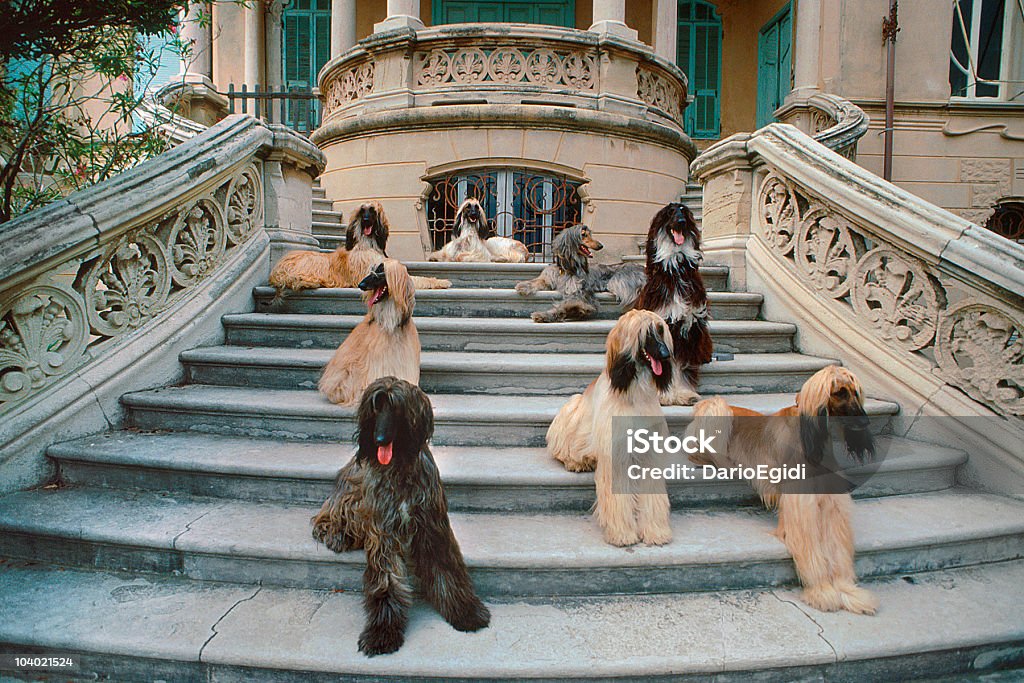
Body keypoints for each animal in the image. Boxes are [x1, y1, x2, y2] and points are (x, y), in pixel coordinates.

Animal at [270, 200, 450, 296]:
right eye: (362, 210)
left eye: (372, 210)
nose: (365, 220)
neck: (368, 243)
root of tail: (276, 270)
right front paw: (441, 281)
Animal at [309, 376, 489, 655]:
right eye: (376, 407)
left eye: (395, 407)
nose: (378, 439)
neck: (399, 466)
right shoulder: (383, 529)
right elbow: (386, 581)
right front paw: (382, 632)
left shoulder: (432, 524)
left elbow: (446, 568)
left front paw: (465, 611)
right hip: (352, 493)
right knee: (326, 517)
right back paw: (336, 534)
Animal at [548, 313, 675, 548]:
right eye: (646, 333)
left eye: (661, 330)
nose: (666, 355)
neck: (634, 394)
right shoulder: (615, 451)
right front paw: (622, 533)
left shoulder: (649, 452)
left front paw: (656, 531)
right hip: (572, 407)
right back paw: (575, 462)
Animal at [630, 202, 712, 405]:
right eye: (669, 213)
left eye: (684, 212)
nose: (681, 222)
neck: (675, 268)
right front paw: (664, 395)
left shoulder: (689, 328)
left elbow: (682, 366)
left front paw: (684, 393)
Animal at [684, 366, 876, 618]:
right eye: (840, 392)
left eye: (856, 392)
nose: (865, 422)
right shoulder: (799, 502)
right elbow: (810, 547)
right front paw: (822, 591)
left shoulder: (831, 501)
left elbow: (838, 547)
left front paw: (848, 591)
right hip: (717, 408)